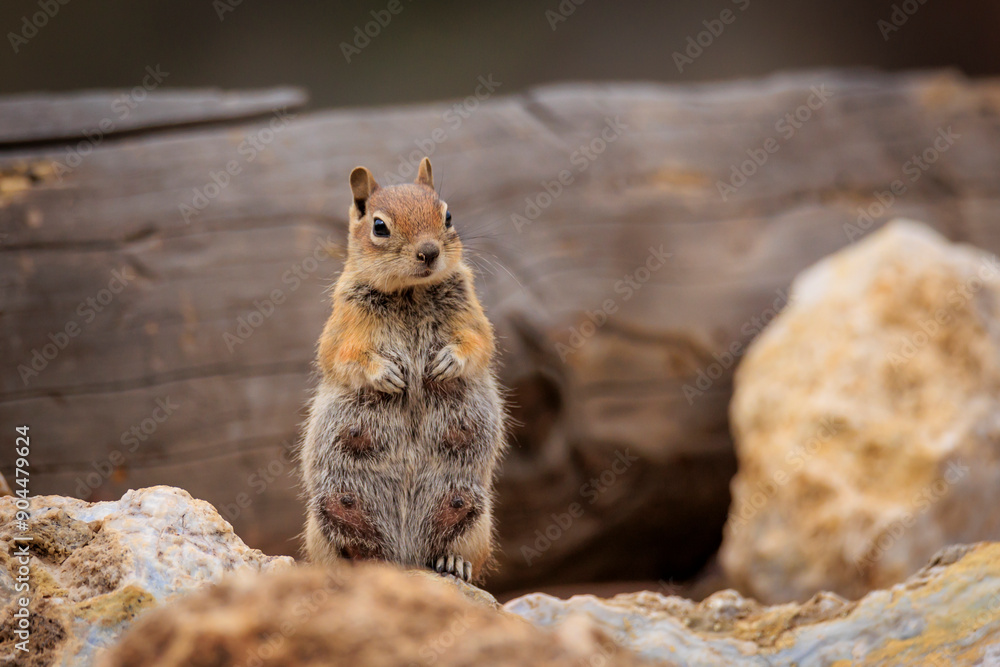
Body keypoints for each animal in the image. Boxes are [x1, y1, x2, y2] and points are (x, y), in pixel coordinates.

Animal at [300, 157, 506, 583]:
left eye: (447, 215)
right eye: (379, 226)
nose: (429, 251)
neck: (410, 292)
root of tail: (404, 556)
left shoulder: (473, 318)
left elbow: (477, 343)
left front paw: (447, 362)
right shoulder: (343, 326)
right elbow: (344, 356)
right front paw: (386, 375)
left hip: (474, 514)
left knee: (459, 550)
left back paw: (452, 562)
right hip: (324, 517)